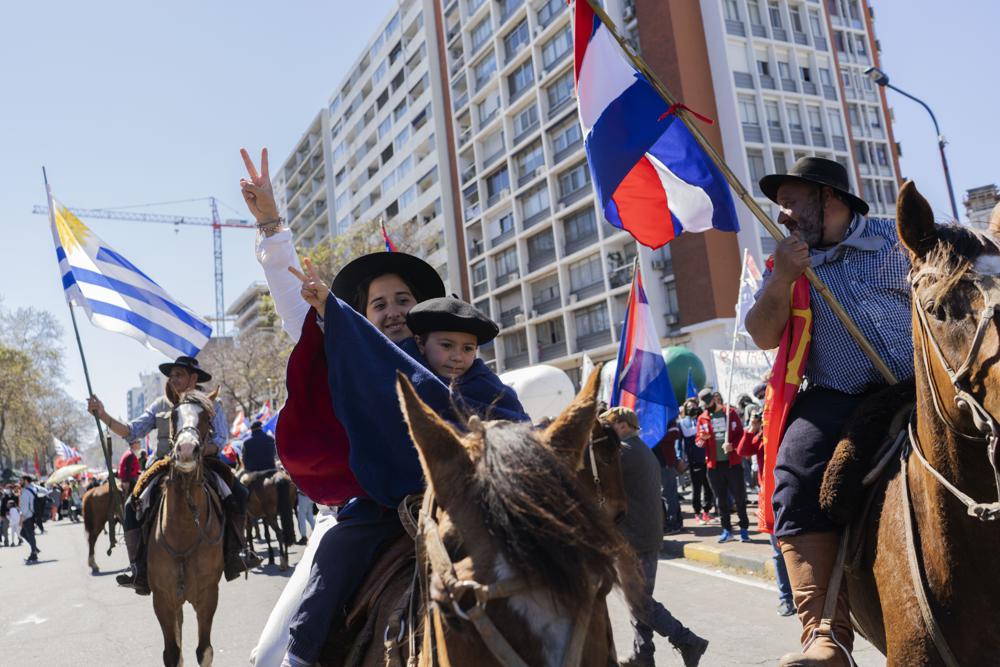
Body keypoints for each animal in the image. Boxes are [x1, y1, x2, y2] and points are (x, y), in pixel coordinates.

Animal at [146, 392, 225, 667]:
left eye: (207, 418)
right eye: (173, 415)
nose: (187, 450)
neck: (183, 530)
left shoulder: (208, 596)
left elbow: (205, 651)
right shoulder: (162, 600)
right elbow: (172, 654)